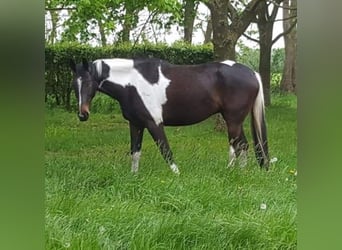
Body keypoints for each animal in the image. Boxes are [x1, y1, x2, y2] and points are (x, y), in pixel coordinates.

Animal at [69, 57, 268, 174]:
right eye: (74, 85)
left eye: (88, 83)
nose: (83, 114)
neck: (132, 83)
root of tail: (252, 73)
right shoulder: (136, 124)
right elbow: (135, 152)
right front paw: (134, 177)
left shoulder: (154, 123)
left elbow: (166, 151)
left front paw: (177, 175)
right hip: (236, 121)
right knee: (244, 146)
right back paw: (240, 173)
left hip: (233, 120)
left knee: (237, 146)